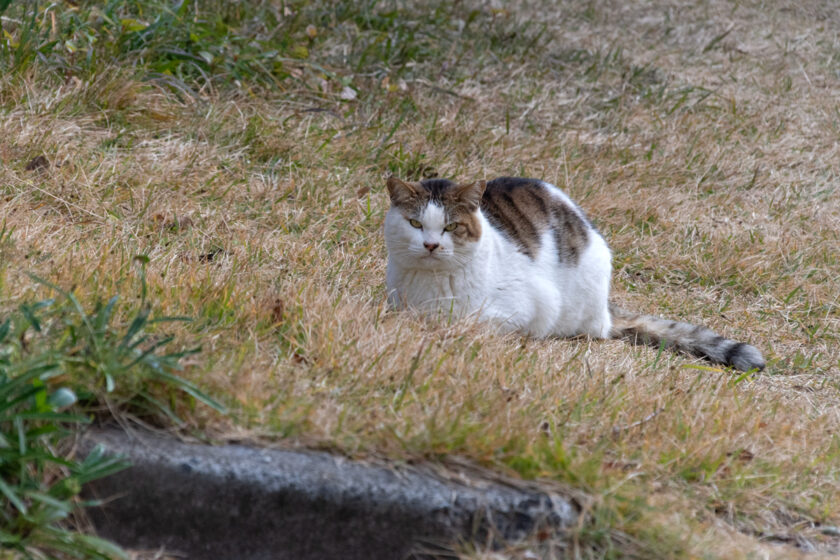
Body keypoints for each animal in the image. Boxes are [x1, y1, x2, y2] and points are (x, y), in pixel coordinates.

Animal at [384, 175, 764, 372]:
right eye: (415, 223)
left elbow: (472, 323)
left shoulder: (531, 306)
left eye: (451, 227)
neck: (430, 283)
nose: (431, 245)